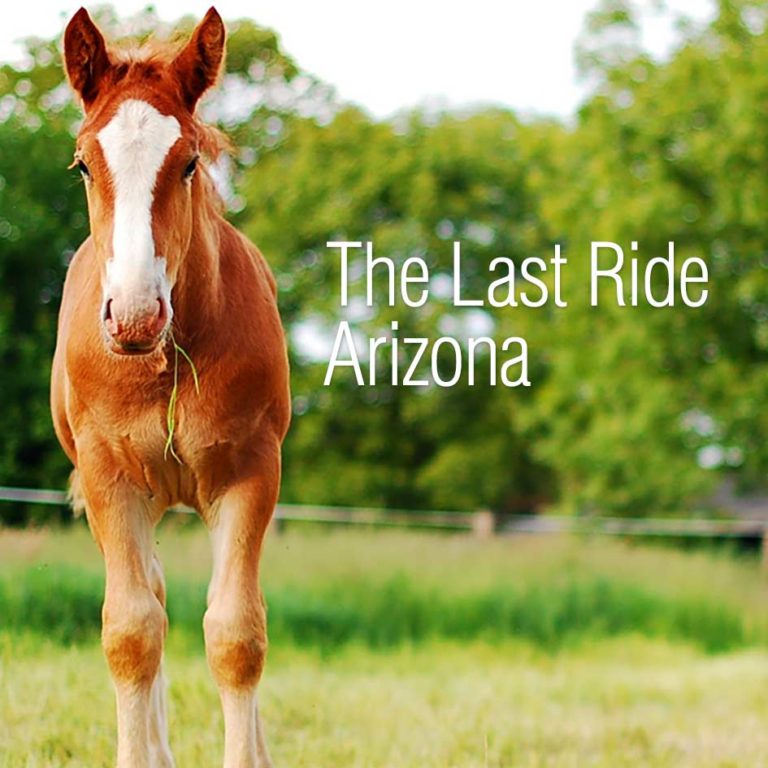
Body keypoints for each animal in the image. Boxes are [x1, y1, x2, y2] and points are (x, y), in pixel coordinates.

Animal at [51, 8, 290, 767]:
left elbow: (237, 633)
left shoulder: (249, 472)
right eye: (82, 164)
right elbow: (131, 631)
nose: (132, 315)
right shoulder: (109, 476)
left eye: (187, 162)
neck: (165, 363)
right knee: (147, 596)